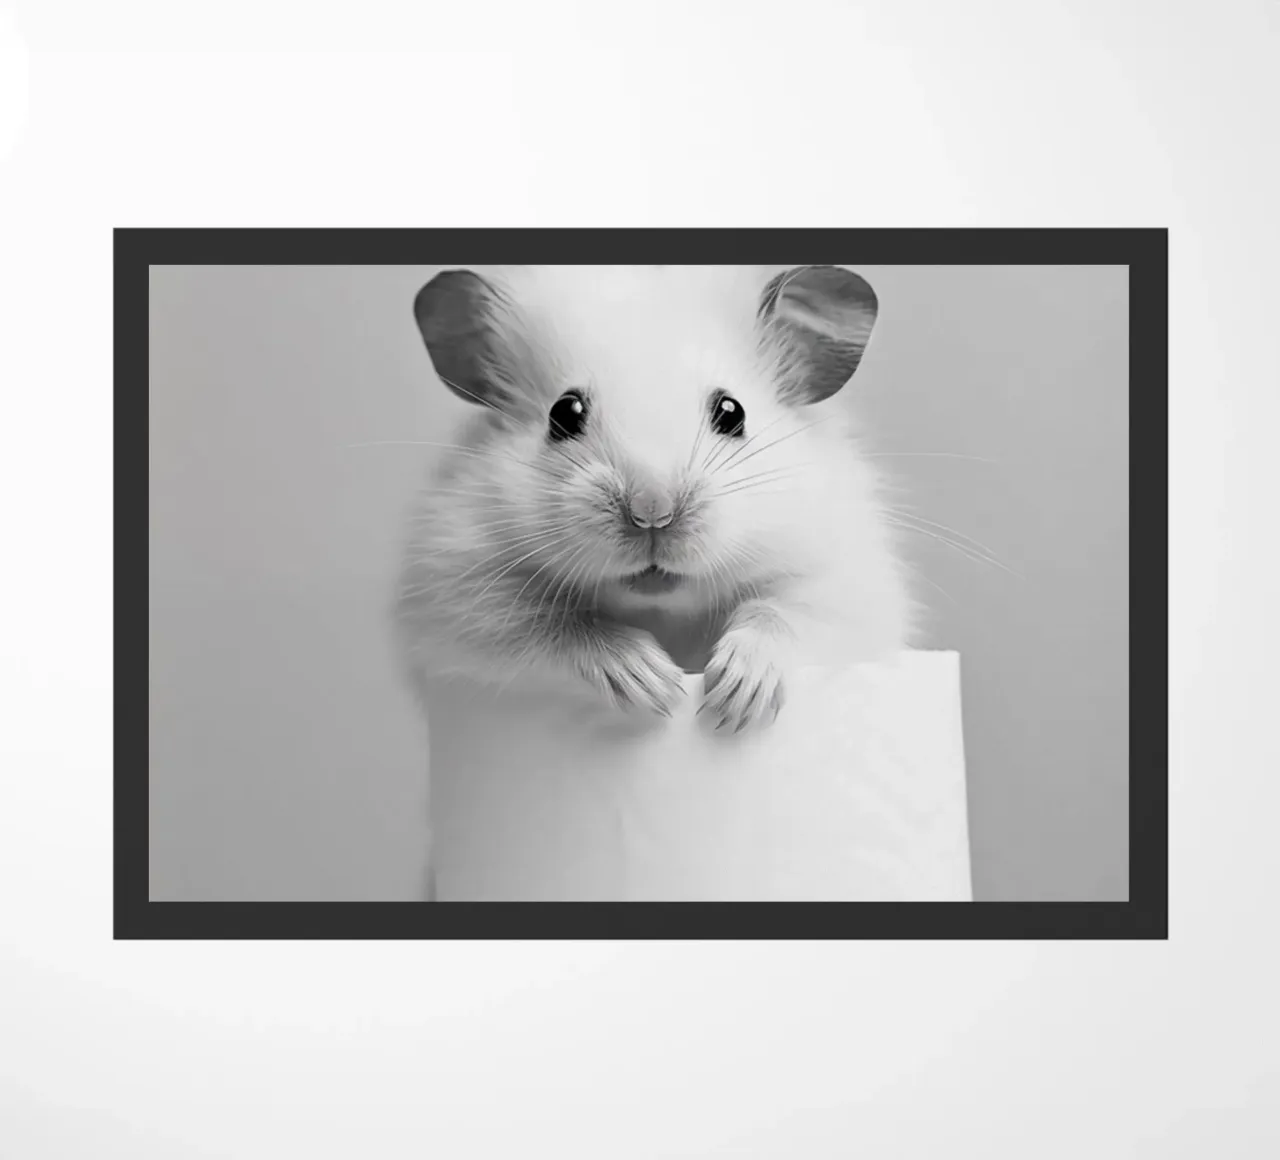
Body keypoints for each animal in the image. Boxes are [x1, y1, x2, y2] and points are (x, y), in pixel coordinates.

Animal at [396, 264, 916, 733]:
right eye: (564, 413)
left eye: (732, 412)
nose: (652, 513)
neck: (663, 606)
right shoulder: (458, 595)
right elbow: (563, 628)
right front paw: (658, 687)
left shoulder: (846, 584)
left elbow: (780, 614)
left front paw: (732, 702)